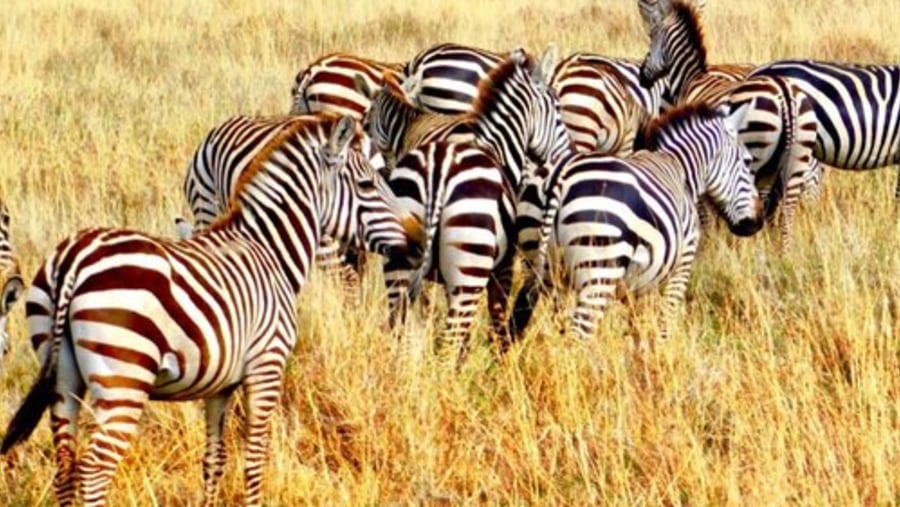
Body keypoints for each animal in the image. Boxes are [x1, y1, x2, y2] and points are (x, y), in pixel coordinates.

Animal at [0, 115, 422, 507]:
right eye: (367, 185)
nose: (419, 242)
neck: (270, 252)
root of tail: (73, 258)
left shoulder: (220, 383)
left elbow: (214, 458)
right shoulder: (267, 366)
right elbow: (255, 459)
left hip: (62, 373)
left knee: (65, 463)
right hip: (124, 377)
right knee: (93, 469)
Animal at [384, 142, 512, 366]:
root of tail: (438, 168)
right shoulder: (504, 269)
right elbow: (499, 319)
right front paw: (502, 365)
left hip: (398, 260)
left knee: (403, 336)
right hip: (470, 260)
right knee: (447, 347)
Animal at [516, 102, 764, 342]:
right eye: (747, 161)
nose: (758, 221)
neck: (681, 169)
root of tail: (561, 173)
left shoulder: (639, 282)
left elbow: (635, 327)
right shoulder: (683, 261)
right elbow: (666, 318)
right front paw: (662, 350)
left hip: (540, 265)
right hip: (599, 268)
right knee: (578, 336)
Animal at [636, 0, 820, 248]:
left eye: (652, 36)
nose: (642, 76)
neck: (691, 77)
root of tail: (785, 94)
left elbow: (704, 208)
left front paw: (708, 239)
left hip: (757, 158)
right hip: (797, 160)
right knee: (785, 214)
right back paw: (782, 252)